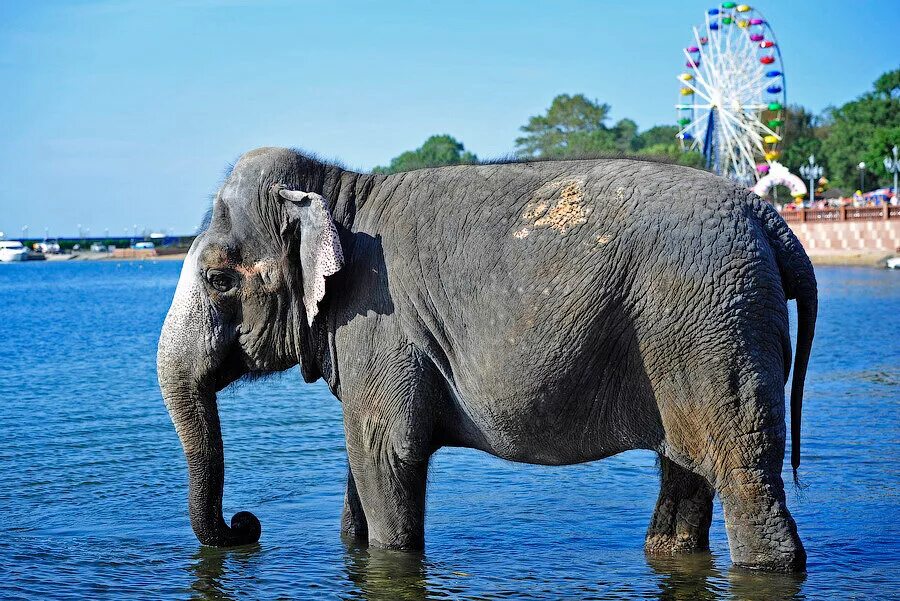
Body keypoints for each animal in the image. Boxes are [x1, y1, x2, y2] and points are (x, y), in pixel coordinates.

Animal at [156, 145, 816, 572]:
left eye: (218, 279)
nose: (247, 525)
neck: (340, 191)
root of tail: (771, 219)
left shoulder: (379, 324)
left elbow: (385, 452)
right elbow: (361, 459)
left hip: (713, 330)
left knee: (743, 475)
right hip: (693, 337)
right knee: (686, 469)